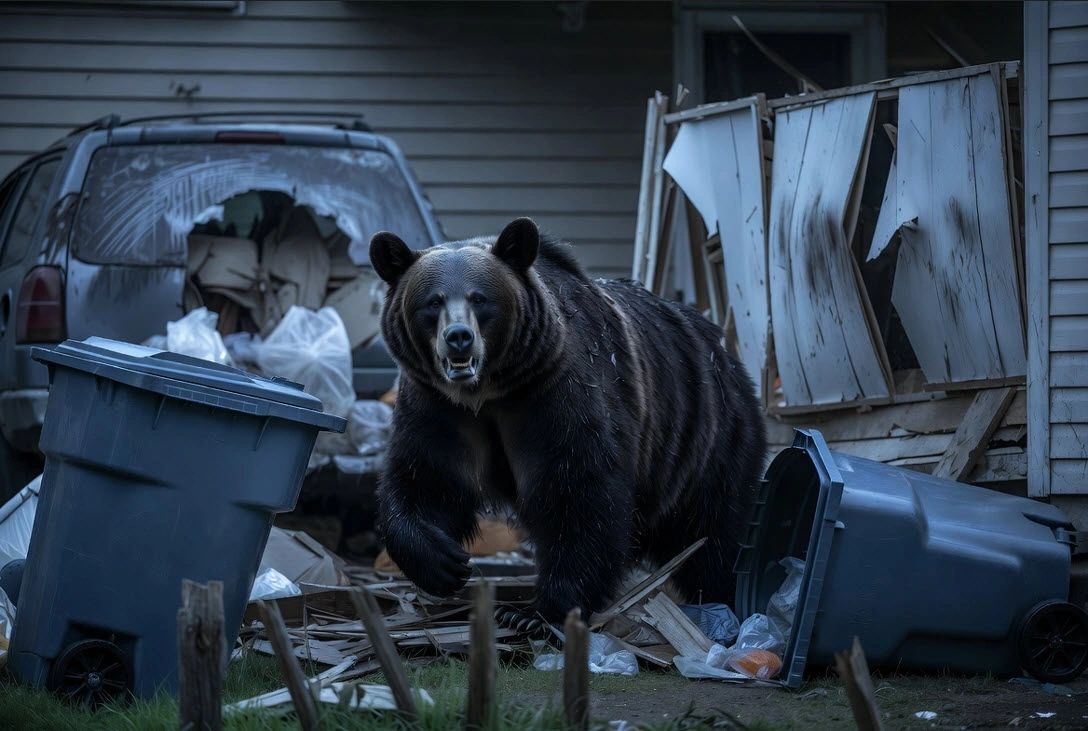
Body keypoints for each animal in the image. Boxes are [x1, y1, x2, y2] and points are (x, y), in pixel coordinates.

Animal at [369, 217, 766, 628]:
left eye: (480, 298)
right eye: (433, 301)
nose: (458, 338)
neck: (488, 393)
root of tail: (723, 351)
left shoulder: (556, 395)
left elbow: (579, 494)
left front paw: (534, 613)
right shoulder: (438, 406)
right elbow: (425, 479)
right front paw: (445, 562)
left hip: (706, 438)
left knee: (714, 533)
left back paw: (724, 596)